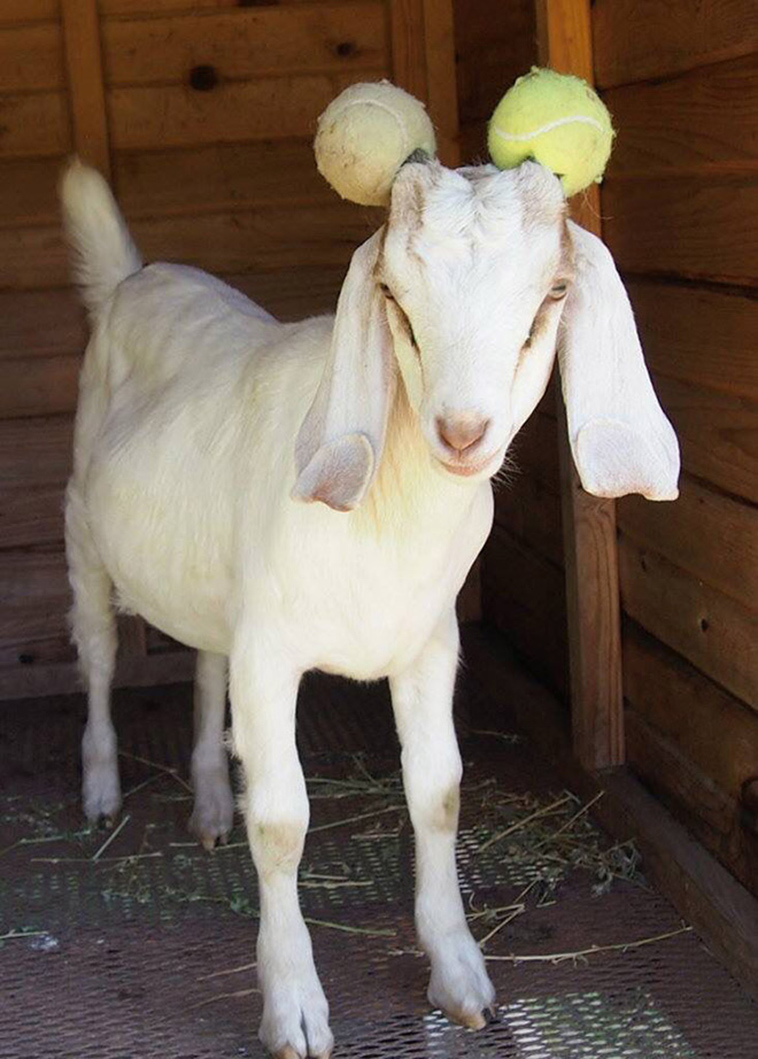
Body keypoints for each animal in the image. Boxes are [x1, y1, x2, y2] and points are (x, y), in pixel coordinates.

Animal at [61, 154, 678, 1059]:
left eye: (554, 292)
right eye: (394, 295)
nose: (462, 430)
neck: (390, 519)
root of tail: (132, 279)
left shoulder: (428, 643)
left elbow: (439, 790)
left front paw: (460, 973)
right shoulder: (271, 651)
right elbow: (282, 822)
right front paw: (295, 1006)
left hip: (211, 581)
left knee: (205, 664)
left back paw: (209, 801)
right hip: (84, 534)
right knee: (100, 655)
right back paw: (103, 788)